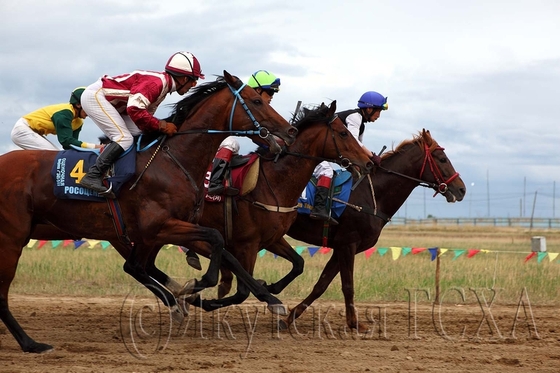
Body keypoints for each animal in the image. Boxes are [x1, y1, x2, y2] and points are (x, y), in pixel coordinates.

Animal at [0, 70, 298, 352]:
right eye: (257, 100)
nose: (290, 131)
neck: (173, 161)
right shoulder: (159, 226)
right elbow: (216, 240)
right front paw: (196, 288)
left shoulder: (159, 231)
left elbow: (222, 251)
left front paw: (268, 298)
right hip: (12, 238)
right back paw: (31, 344)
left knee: (136, 266)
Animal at [174, 101, 376, 310]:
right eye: (344, 133)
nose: (368, 162)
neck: (274, 181)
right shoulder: (247, 244)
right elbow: (242, 290)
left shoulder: (272, 239)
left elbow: (298, 263)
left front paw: (271, 287)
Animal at [280, 129, 468, 332]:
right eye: (442, 159)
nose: (462, 189)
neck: (373, 195)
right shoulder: (348, 244)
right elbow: (348, 285)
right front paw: (354, 323)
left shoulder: (341, 247)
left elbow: (322, 284)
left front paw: (291, 316)